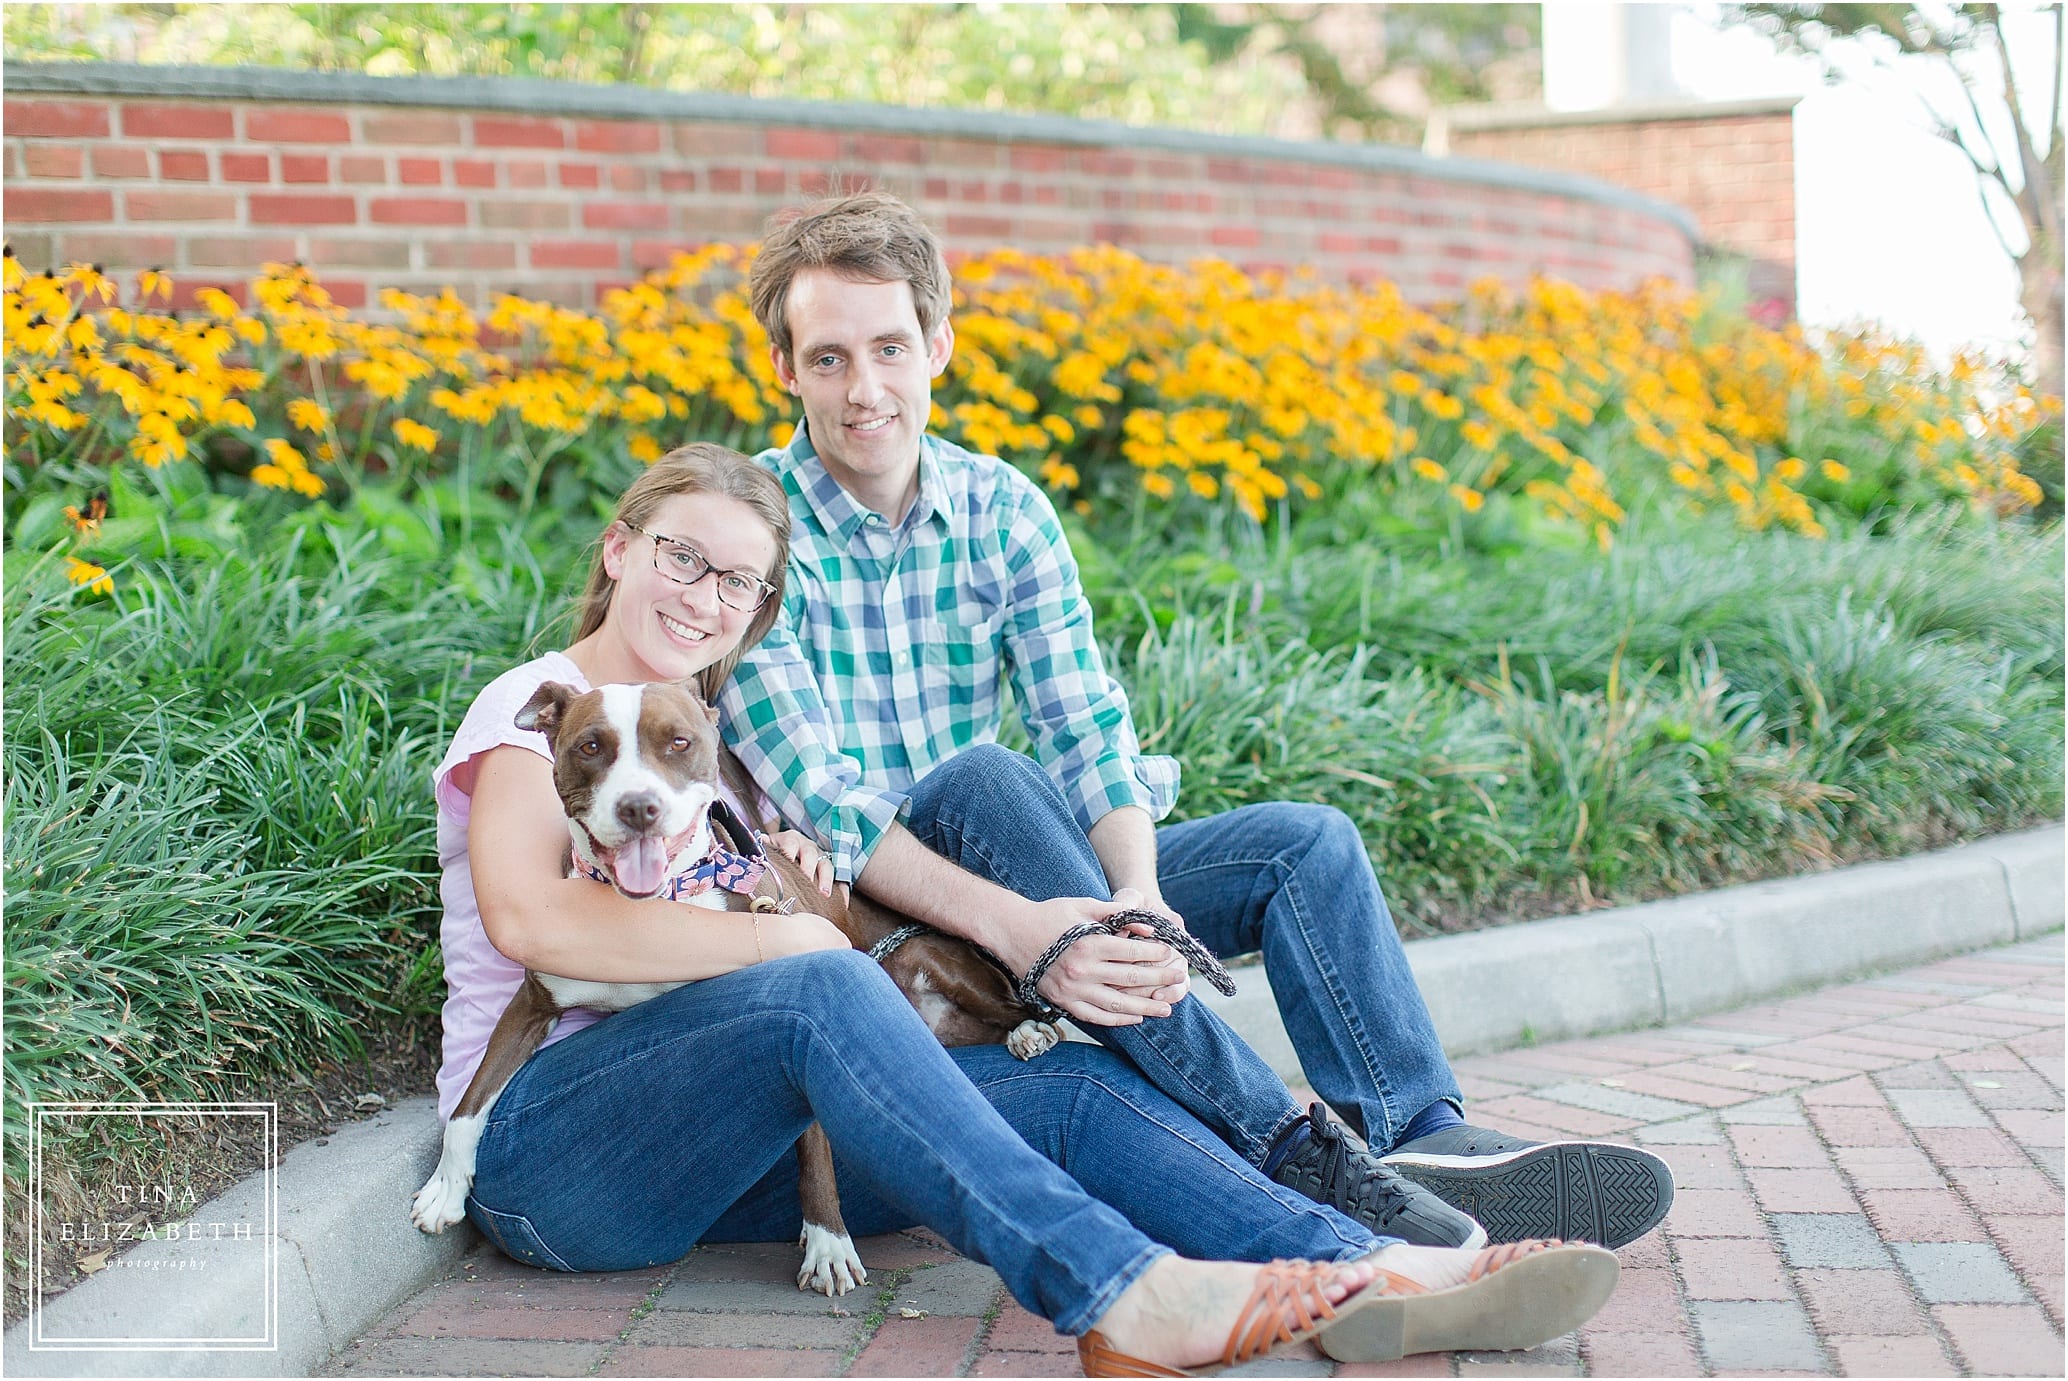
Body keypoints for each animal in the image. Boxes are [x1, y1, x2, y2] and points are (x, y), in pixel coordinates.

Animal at [409, 678, 1058, 1298]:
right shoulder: (531, 1005)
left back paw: (1031, 1031)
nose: (639, 807)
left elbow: (815, 1148)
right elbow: (471, 1103)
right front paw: (445, 1188)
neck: (659, 907)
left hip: (930, 958)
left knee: (1017, 1004)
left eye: (678, 742)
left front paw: (828, 1243)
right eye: (590, 747)